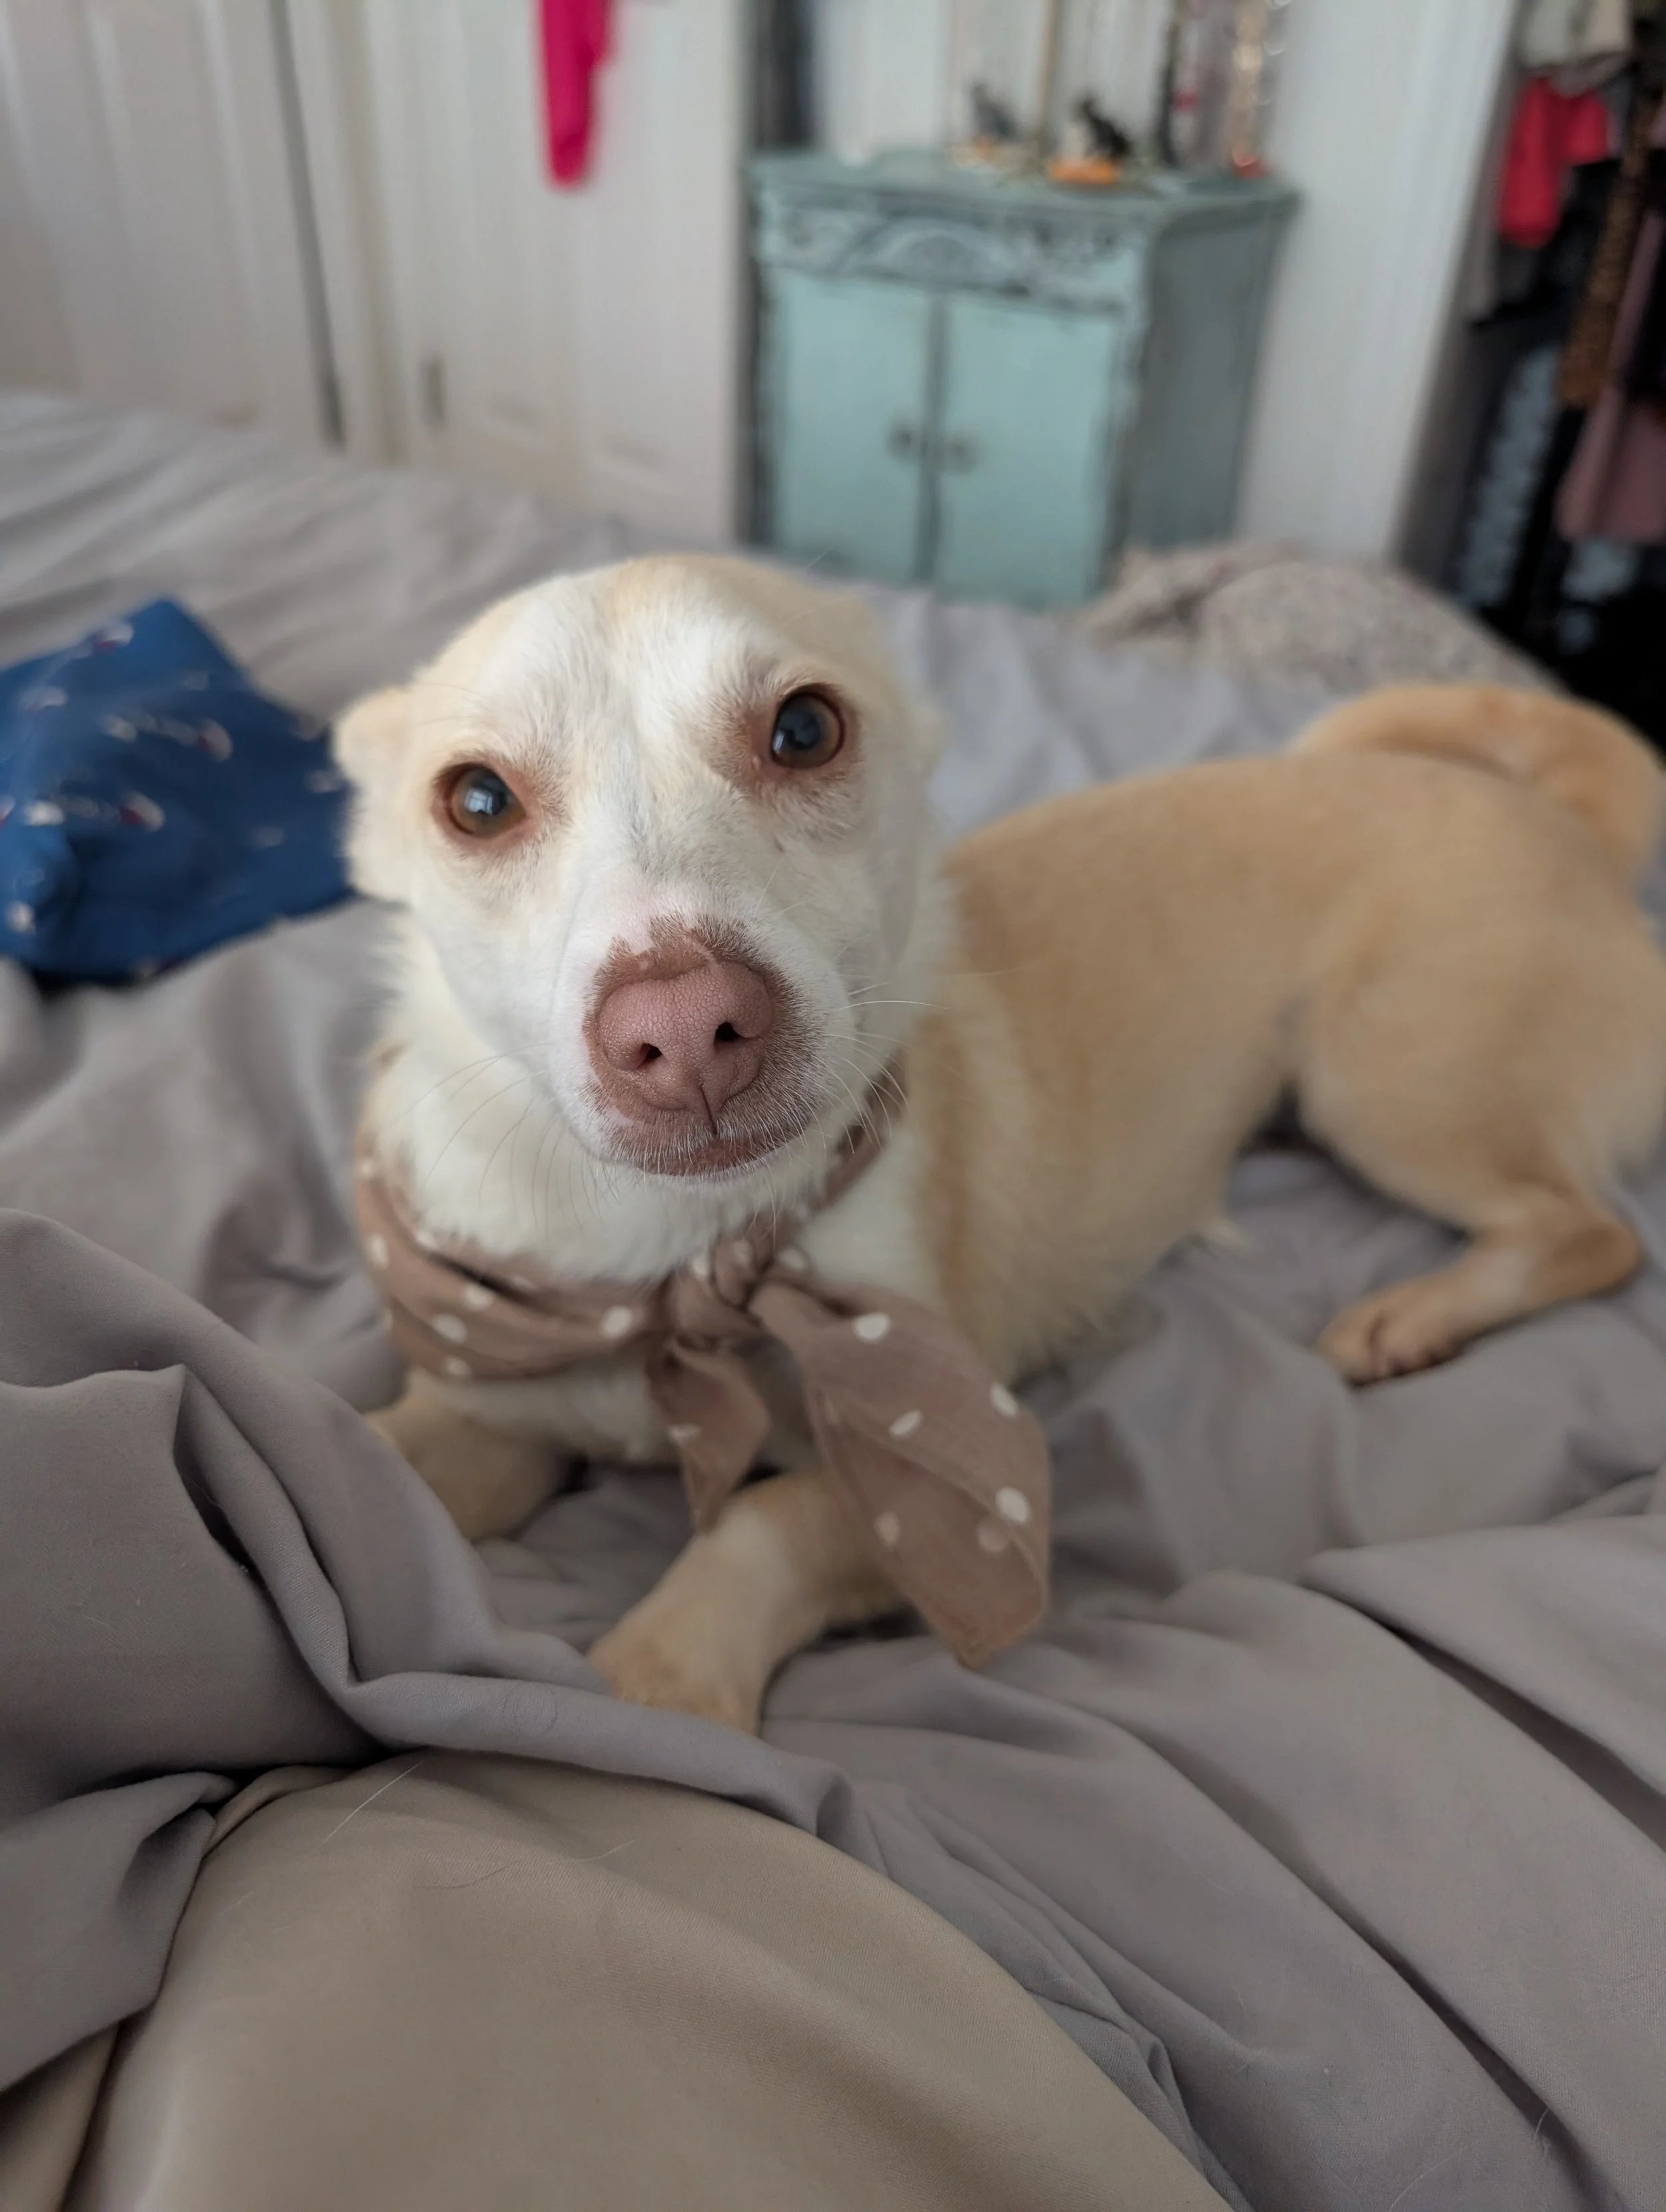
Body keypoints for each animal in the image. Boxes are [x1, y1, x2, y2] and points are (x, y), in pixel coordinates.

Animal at [336, 556, 1666, 1732]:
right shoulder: (488, 1412)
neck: (673, 1257)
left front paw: (657, 1684)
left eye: (806, 730)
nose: (686, 1026)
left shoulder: (936, 1474)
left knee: (1590, 1231)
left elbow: (767, 1522)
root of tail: (1560, 820)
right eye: (477, 802)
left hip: (1382, 1082)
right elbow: (379, 1458)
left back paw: (1414, 1317)